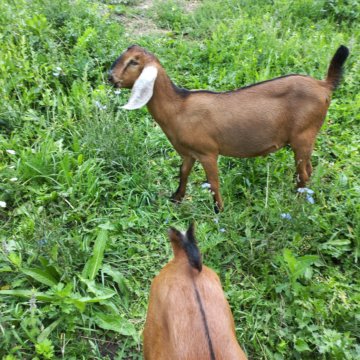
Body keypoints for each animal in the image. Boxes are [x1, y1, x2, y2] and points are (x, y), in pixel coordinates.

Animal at [109, 45, 348, 211]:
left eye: (134, 62)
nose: (110, 77)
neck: (179, 107)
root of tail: (324, 85)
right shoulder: (188, 153)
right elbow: (183, 174)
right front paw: (175, 199)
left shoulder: (208, 153)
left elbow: (213, 182)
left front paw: (219, 211)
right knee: (307, 170)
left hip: (303, 136)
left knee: (304, 173)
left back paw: (297, 203)